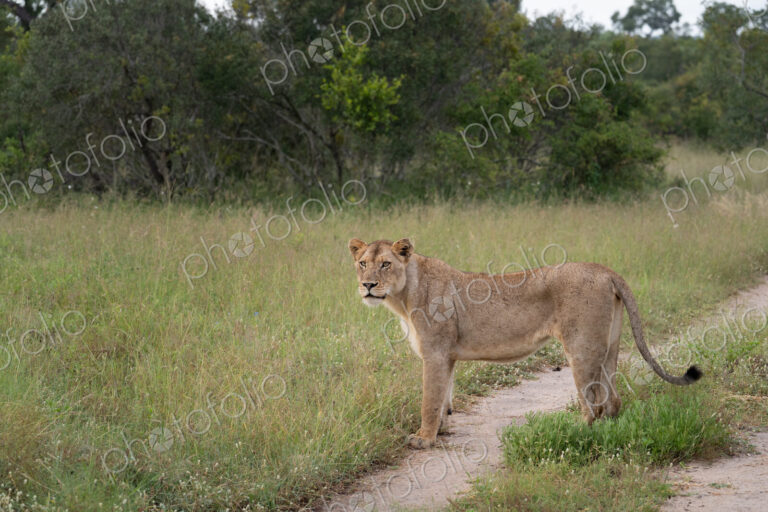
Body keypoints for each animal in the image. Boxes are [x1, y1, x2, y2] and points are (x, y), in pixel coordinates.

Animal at [348, 238, 702, 449]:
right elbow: (445, 396)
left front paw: (423, 439)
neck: (403, 295)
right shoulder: (447, 356)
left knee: (593, 402)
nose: (368, 285)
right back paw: (606, 431)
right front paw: (442, 430)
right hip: (609, 347)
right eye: (363, 263)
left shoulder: (434, 353)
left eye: (386, 264)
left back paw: (573, 431)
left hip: (581, 348)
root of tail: (604, 270)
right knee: (612, 399)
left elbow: (429, 400)